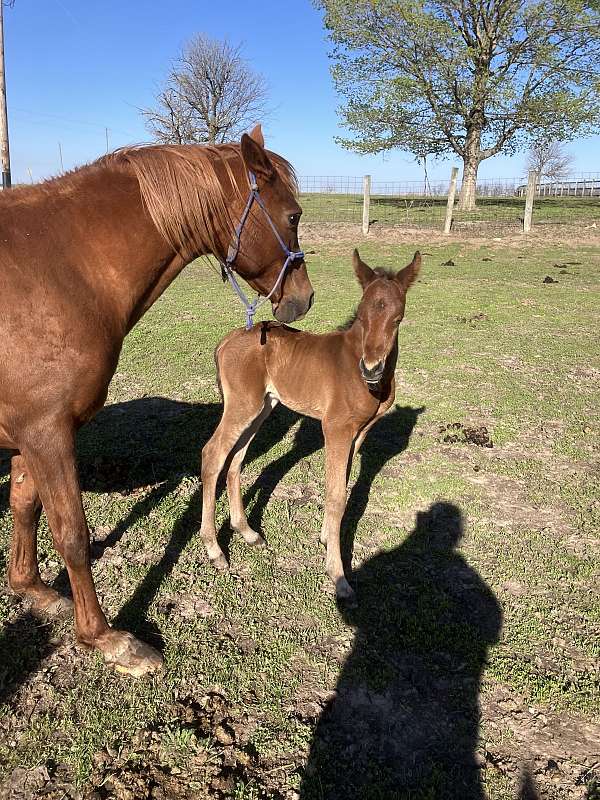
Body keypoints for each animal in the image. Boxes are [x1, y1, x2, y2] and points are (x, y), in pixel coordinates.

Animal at [0, 125, 314, 676]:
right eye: (293, 215)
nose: (304, 297)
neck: (58, 265)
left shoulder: (30, 436)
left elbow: (26, 507)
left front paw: (32, 590)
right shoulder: (46, 432)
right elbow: (72, 534)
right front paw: (106, 639)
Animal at [199, 249, 421, 601]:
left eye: (398, 318)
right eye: (361, 316)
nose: (371, 369)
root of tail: (227, 340)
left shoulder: (359, 433)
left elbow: (342, 488)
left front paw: (327, 538)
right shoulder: (336, 429)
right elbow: (336, 496)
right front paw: (338, 574)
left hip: (261, 407)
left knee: (235, 460)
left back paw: (247, 532)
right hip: (242, 406)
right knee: (213, 454)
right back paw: (214, 550)